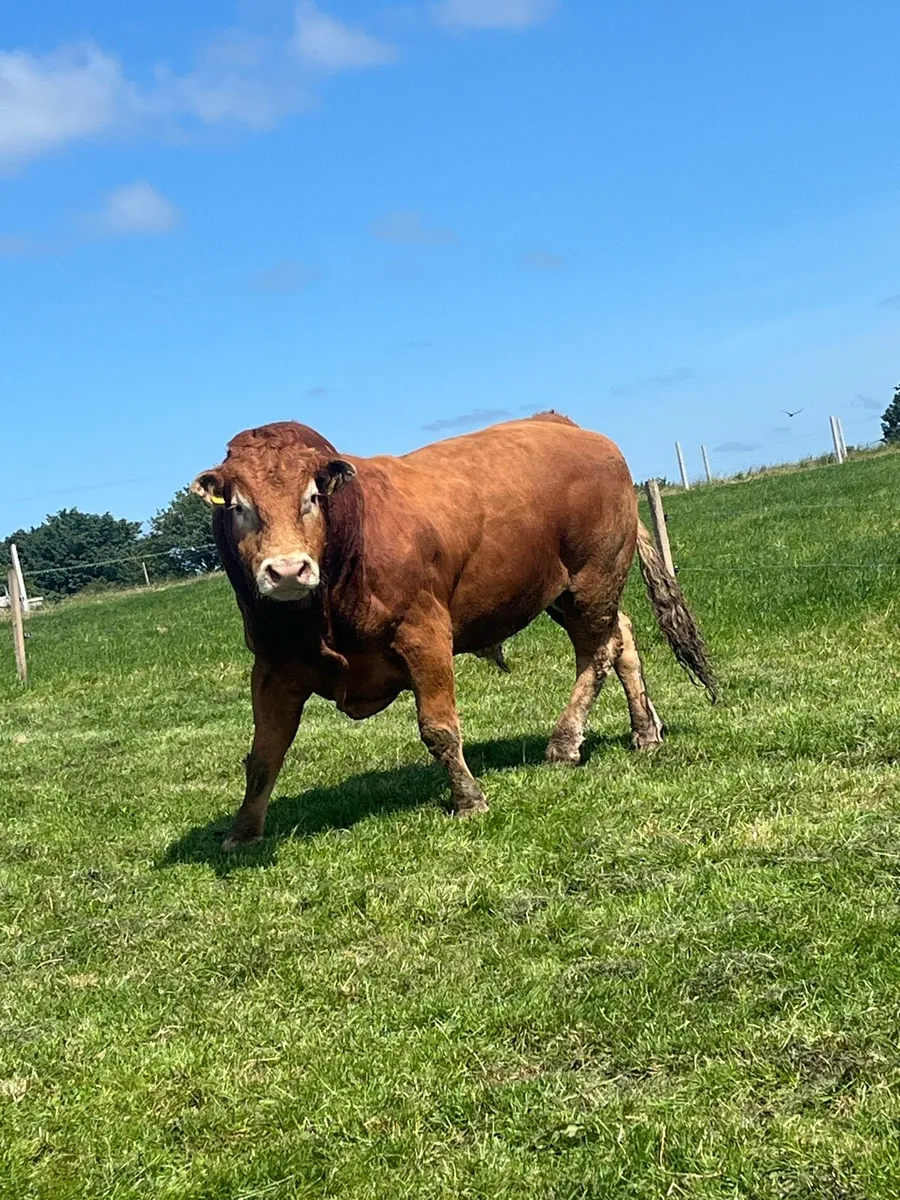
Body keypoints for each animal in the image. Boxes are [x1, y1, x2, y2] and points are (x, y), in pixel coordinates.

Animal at [192, 412, 715, 849]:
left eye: (312, 498)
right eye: (237, 506)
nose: (286, 570)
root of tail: (568, 425)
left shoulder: (424, 635)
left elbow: (438, 729)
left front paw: (468, 799)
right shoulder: (272, 667)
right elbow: (264, 754)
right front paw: (242, 832)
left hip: (594, 579)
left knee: (597, 654)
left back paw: (566, 742)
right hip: (569, 593)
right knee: (621, 641)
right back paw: (645, 730)